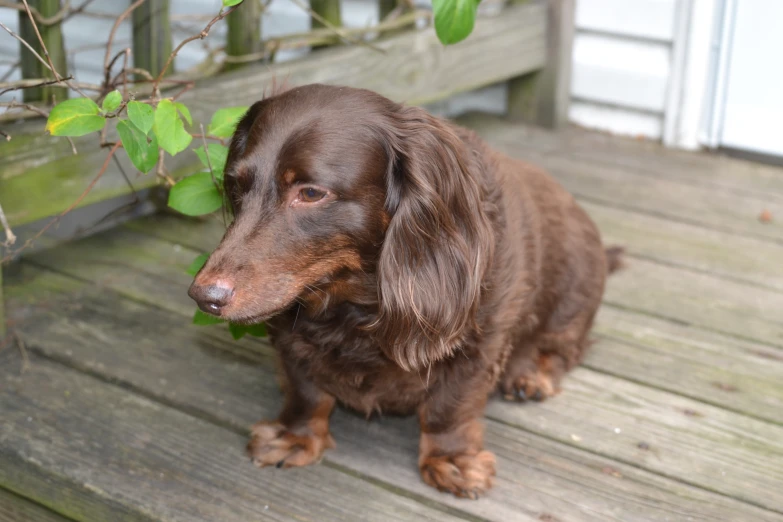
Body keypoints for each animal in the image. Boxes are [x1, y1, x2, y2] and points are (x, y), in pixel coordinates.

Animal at [187, 83, 620, 498]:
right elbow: (305, 391)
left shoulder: (478, 347)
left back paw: (531, 374)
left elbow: (449, 407)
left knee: (560, 346)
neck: (354, 303)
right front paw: (296, 436)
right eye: (235, 185)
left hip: (572, 295)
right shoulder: (290, 340)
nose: (204, 297)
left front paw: (451, 459)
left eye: (310, 193)